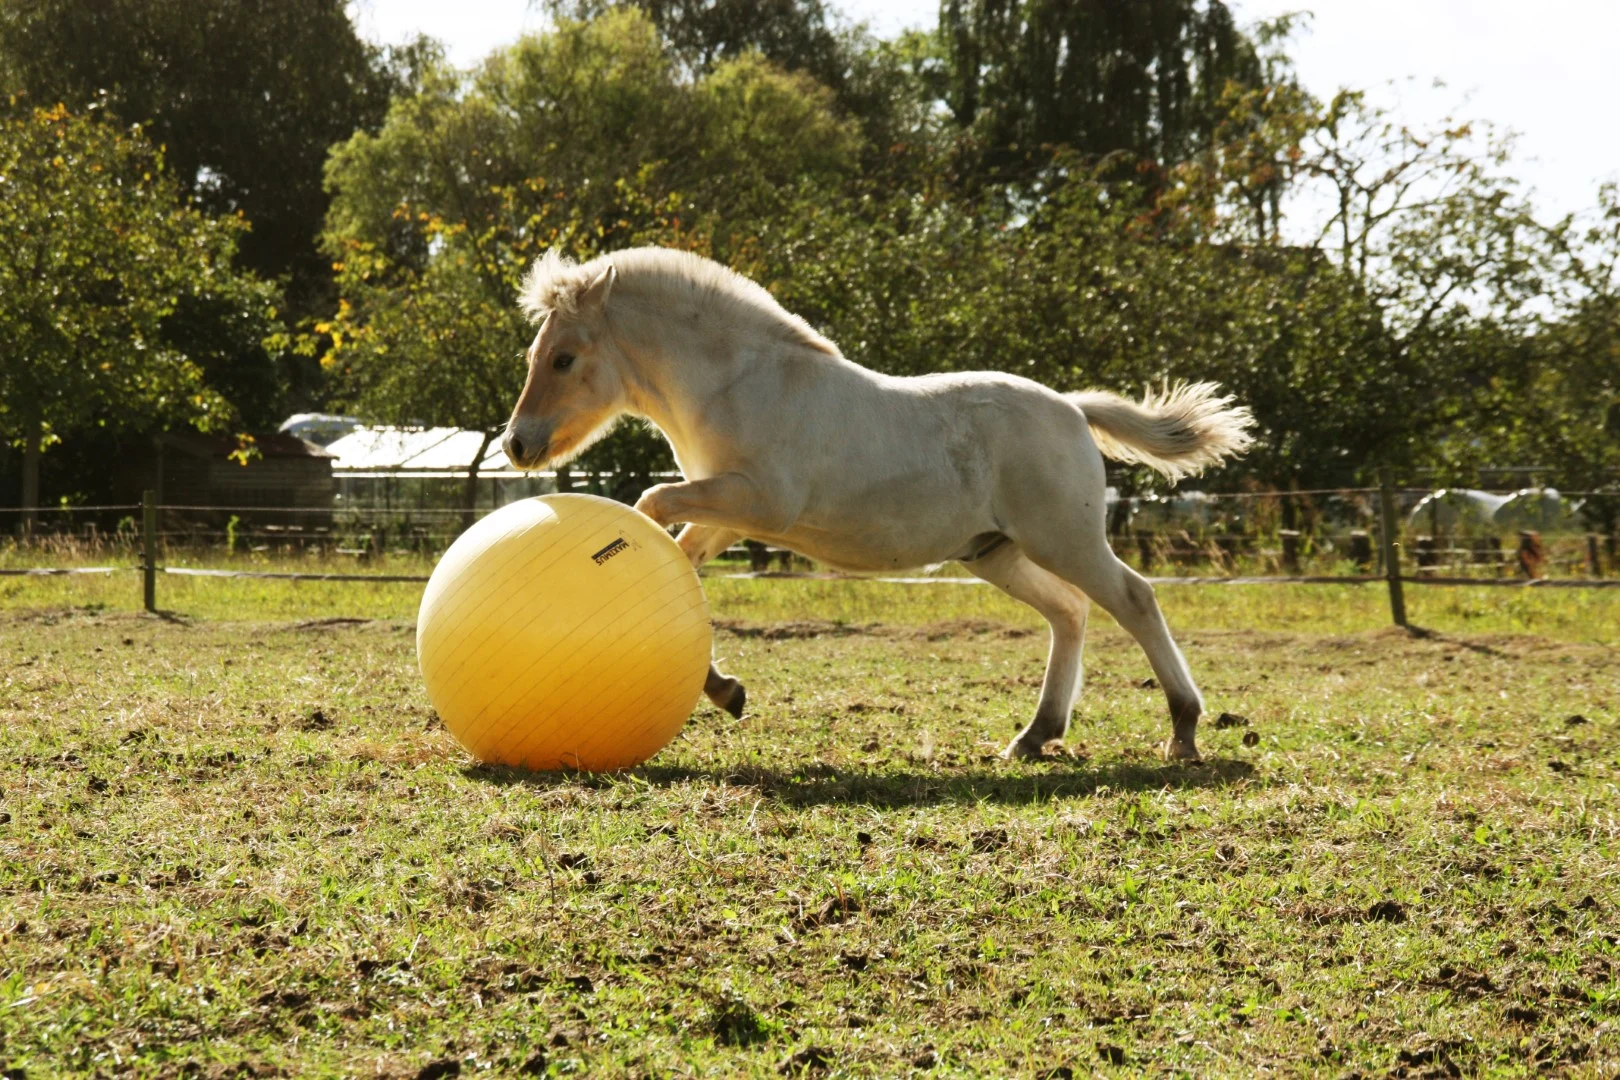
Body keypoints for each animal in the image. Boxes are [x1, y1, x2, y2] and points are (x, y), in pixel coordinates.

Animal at [502, 247, 1254, 761]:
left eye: (564, 358)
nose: (517, 443)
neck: (738, 383)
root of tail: (1072, 407)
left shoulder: (761, 504)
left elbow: (653, 503)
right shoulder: (728, 515)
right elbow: (684, 557)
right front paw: (725, 689)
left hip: (1065, 539)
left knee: (1133, 598)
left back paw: (1183, 731)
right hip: (995, 553)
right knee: (1069, 612)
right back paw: (1033, 736)